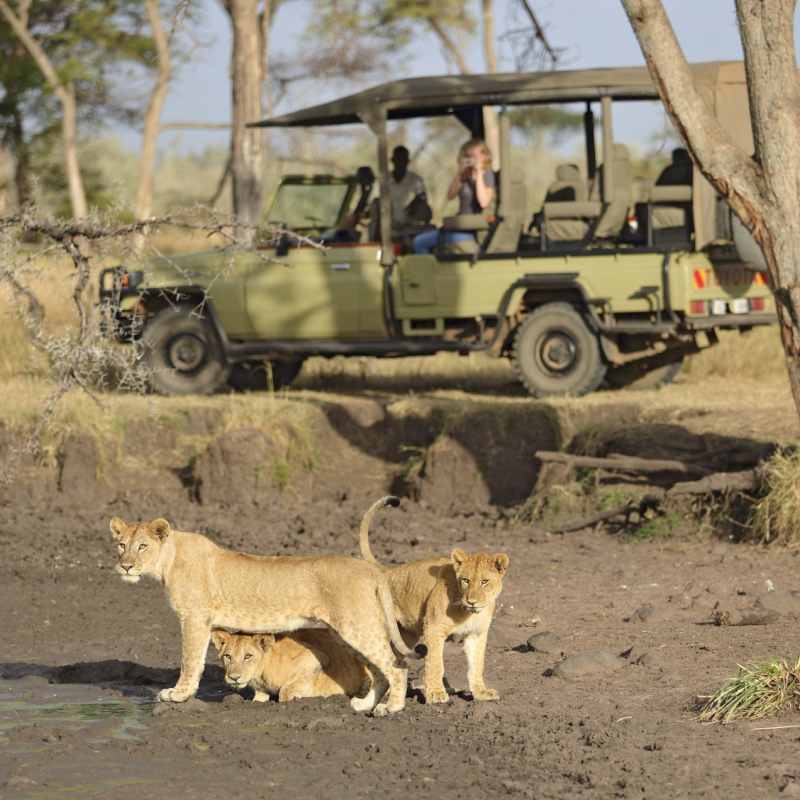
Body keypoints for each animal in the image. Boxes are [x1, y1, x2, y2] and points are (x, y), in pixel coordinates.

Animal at [211, 629, 370, 703]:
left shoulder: (317, 657)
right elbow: (258, 698)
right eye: (228, 656)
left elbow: (286, 690)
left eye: (248, 656)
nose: (234, 677)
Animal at [358, 496, 509, 705]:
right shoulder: (434, 628)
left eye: (484, 581)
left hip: (405, 635)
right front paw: (436, 694)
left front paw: (481, 692)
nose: (472, 601)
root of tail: (387, 571)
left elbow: (477, 665)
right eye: (466, 580)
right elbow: (435, 663)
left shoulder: (476, 634)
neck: (469, 612)